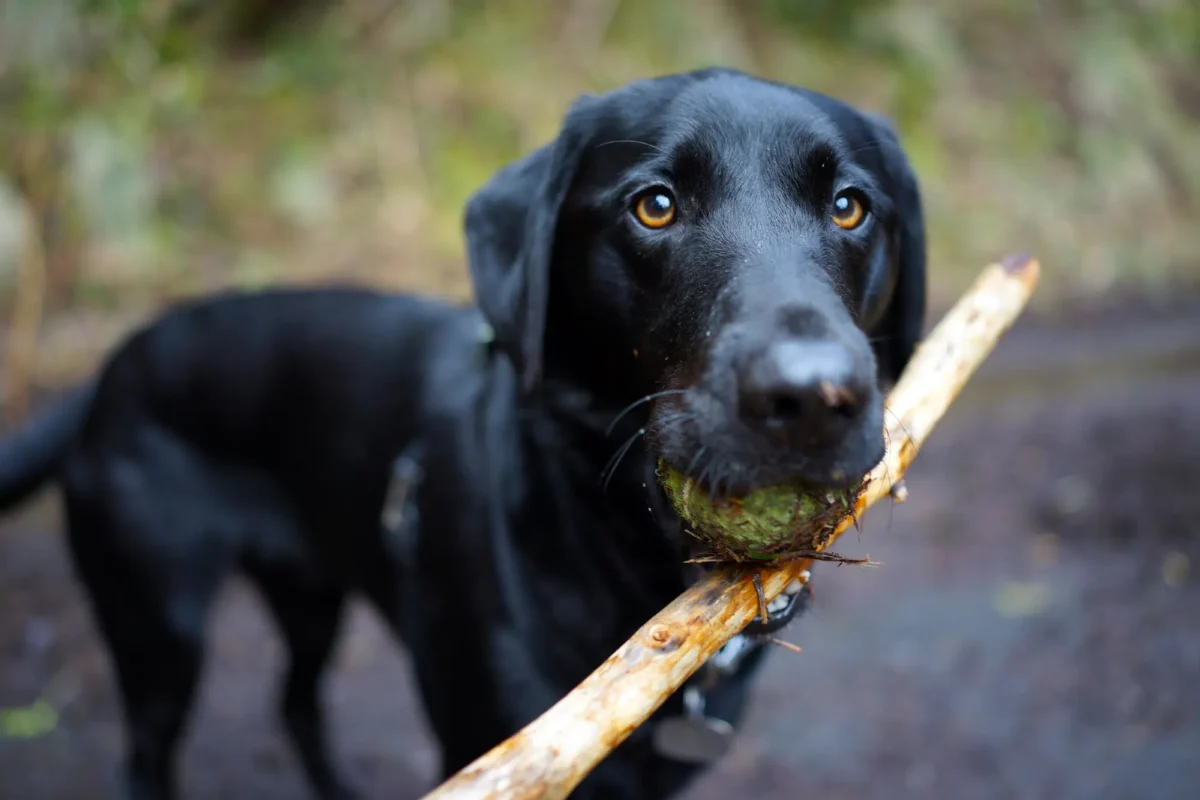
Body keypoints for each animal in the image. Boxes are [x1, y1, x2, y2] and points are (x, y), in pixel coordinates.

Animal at [0, 68, 926, 800]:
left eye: (849, 208)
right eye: (655, 207)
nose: (812, 397)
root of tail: (113, 364)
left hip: (309, 592)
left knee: (296, 703)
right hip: (158, 626)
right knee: (150, 752)